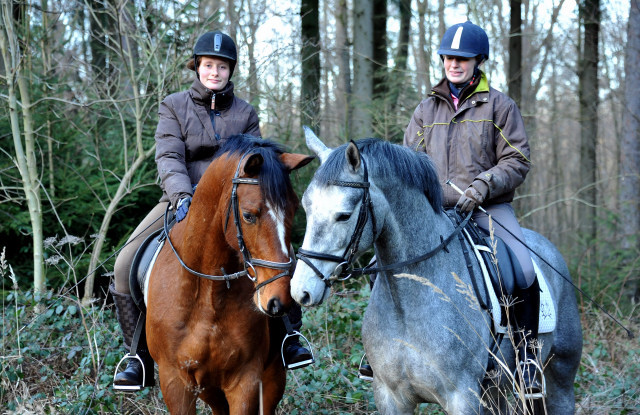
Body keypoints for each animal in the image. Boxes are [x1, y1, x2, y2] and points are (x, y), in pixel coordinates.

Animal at [146, 135, 316, 414]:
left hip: (271, 378)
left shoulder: (245, 380)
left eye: (293, 210)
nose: (279, 300)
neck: (208, 294)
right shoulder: (175, 382)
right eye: (248, 215)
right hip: (209, 388)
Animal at [292, 128, 584, 414]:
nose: (300, 291)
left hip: (559, 377)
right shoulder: (389, 397)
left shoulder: (461, 397)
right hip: (494, 391)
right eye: (306, 207)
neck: (407, 305)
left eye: (343, 215)